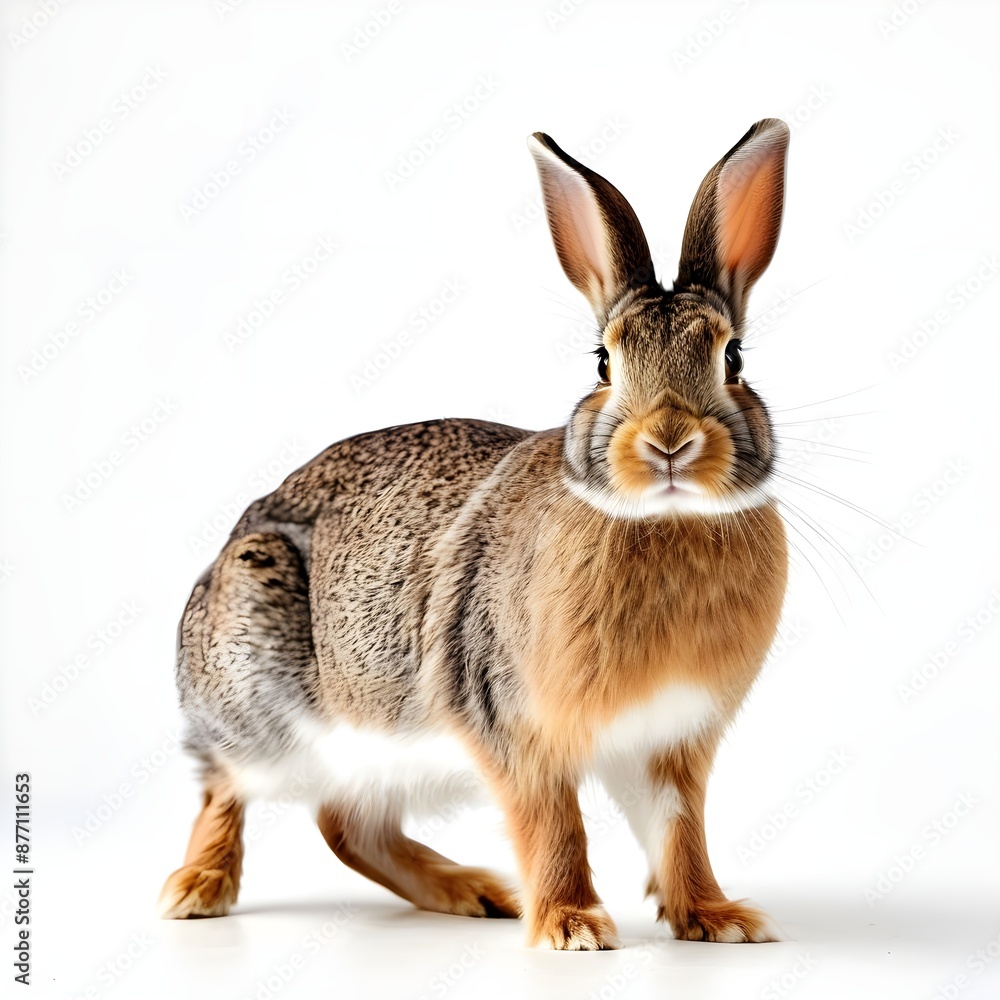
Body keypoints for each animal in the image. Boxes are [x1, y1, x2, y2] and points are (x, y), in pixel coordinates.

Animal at [159, 118, 791, 951]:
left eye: (734, 357)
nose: (669, 442)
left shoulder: (668, 745)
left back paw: (477, 892)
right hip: (261, 687)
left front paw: (719, 920)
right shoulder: (515, 728)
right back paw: (197, 890)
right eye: (603, 361)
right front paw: (572, 927)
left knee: (345, 824)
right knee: (224, 788)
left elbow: (680, 836)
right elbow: (556, 828)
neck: (664, 520)